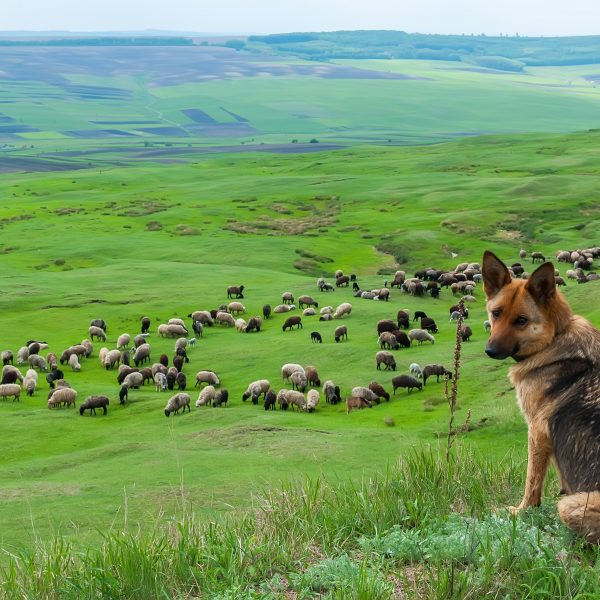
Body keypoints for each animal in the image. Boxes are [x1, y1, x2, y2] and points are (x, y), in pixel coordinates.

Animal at [480, 251, 600, 540]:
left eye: (521, 320)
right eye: (496, 313)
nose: (490, 351)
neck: (555, 336)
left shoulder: (536, 431)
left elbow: (532, 480)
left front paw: (522, 511)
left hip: (570, 507)